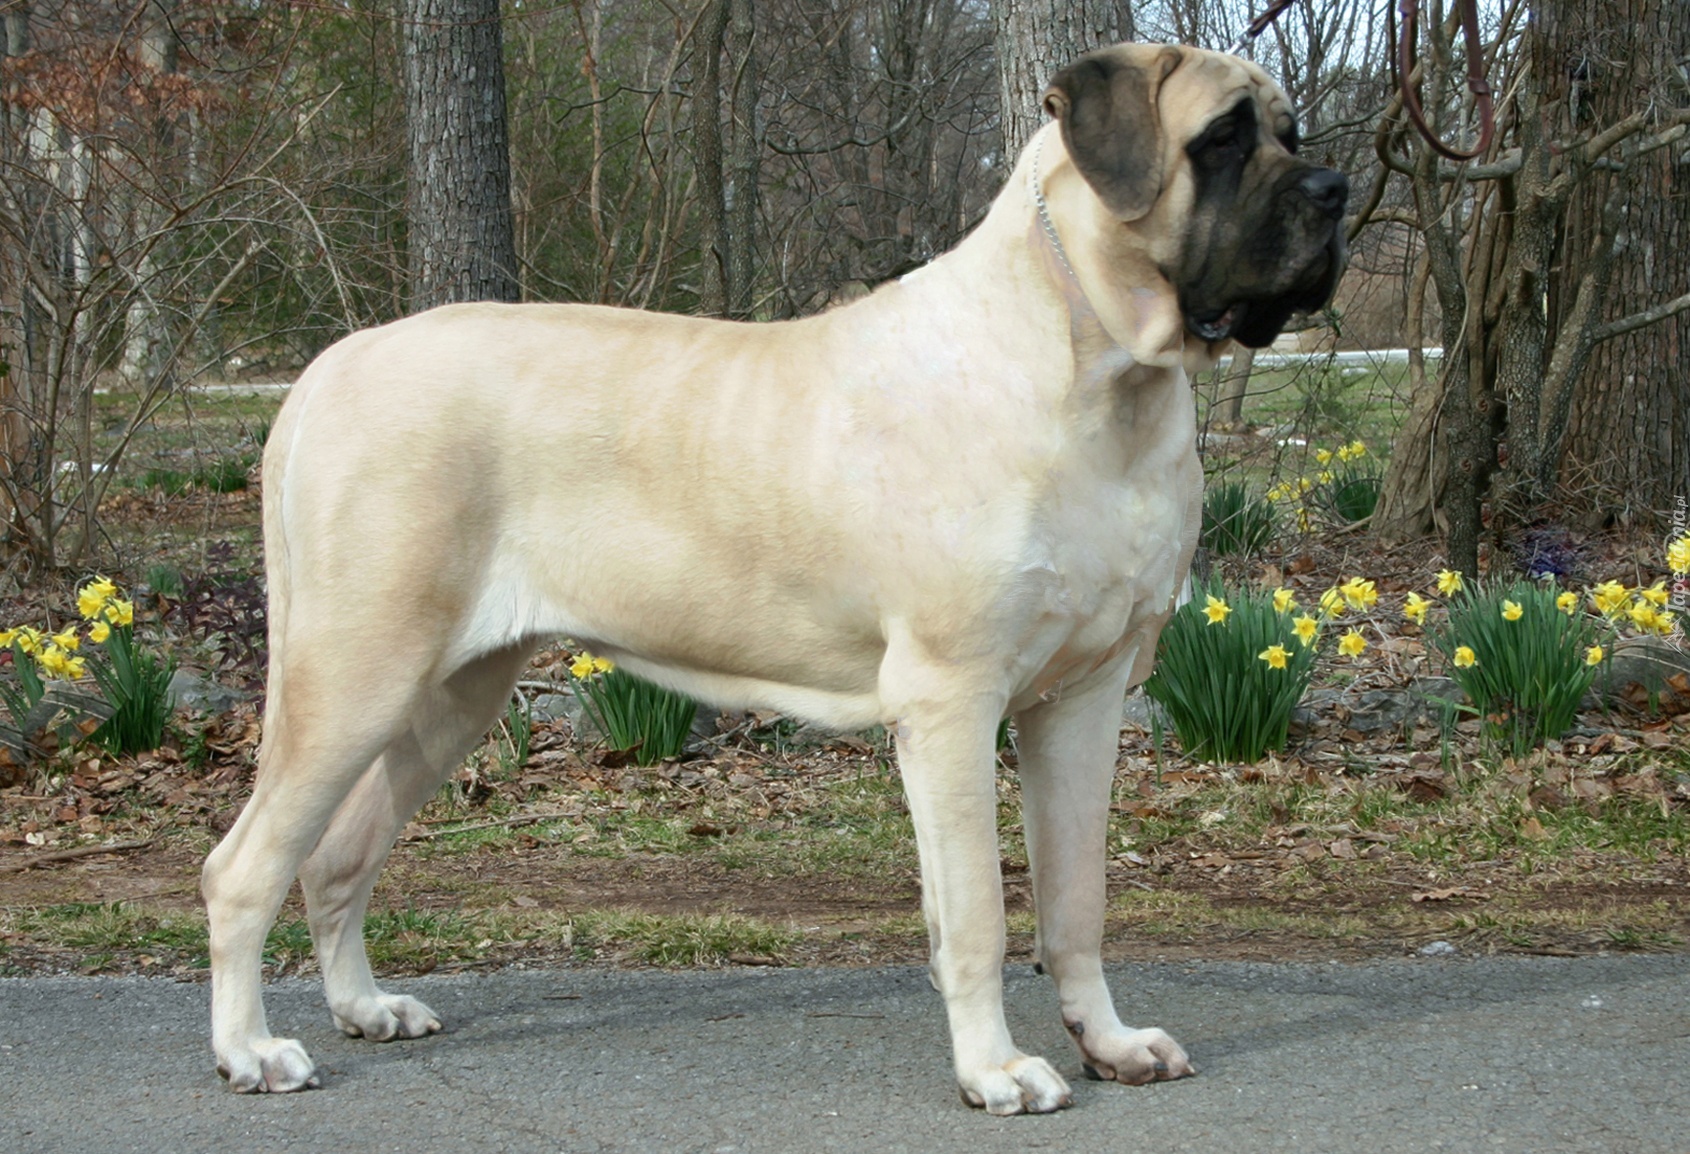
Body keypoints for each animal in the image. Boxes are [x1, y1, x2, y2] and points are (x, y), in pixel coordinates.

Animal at [204, 40, 1345, 1115]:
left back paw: (364, 1006)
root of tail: (328, 368)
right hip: (358, 671)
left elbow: (1078, 899)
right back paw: (251, 1050)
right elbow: (977, 910)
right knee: (244, 866)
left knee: (336, 856)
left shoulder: (1085, 695)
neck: (1101, 367)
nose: (1335, 190)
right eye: (1222, 140)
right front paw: (994, 1069)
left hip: (451, 692)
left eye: (1290, 130)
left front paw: (1106, 1041)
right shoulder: (951, 698)